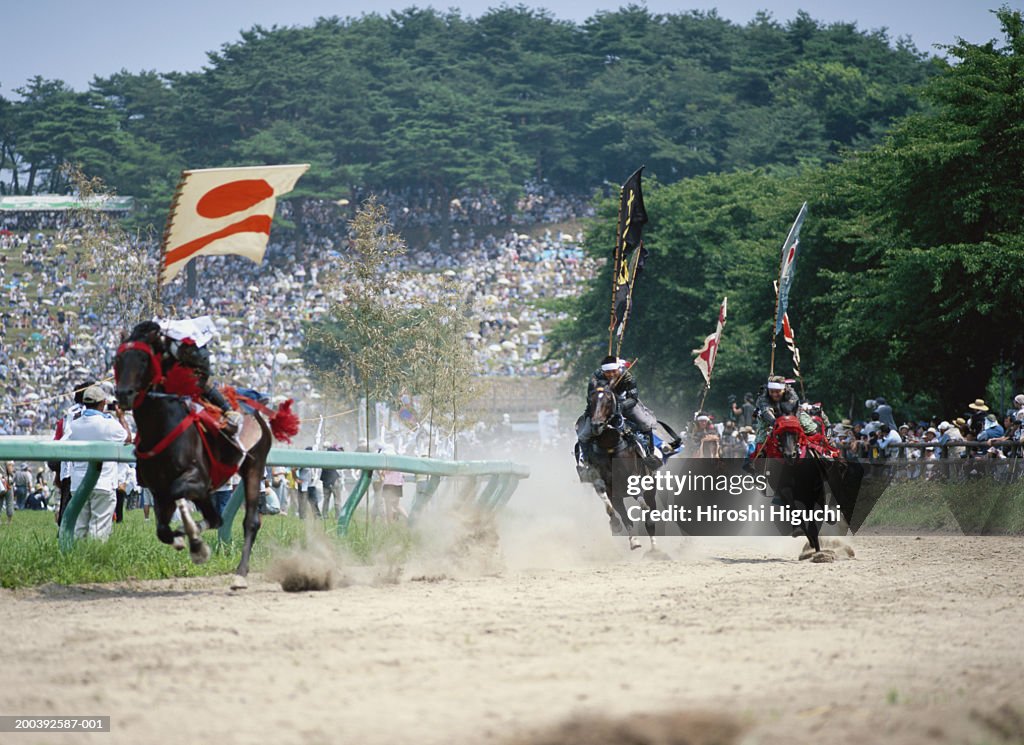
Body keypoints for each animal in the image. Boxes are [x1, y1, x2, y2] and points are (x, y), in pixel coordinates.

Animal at [117, 319, 299, 589]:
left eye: (142, 358)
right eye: (117, 360)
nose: (123, 394)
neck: (161, 426)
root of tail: (256, 410)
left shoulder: (198, 480)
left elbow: (181, 498)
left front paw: (195, 543)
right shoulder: (157, 489)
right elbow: (164, 529)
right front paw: (184, 539)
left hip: (254, 467)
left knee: (251, 521)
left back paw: (240, 573)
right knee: (217, 519)